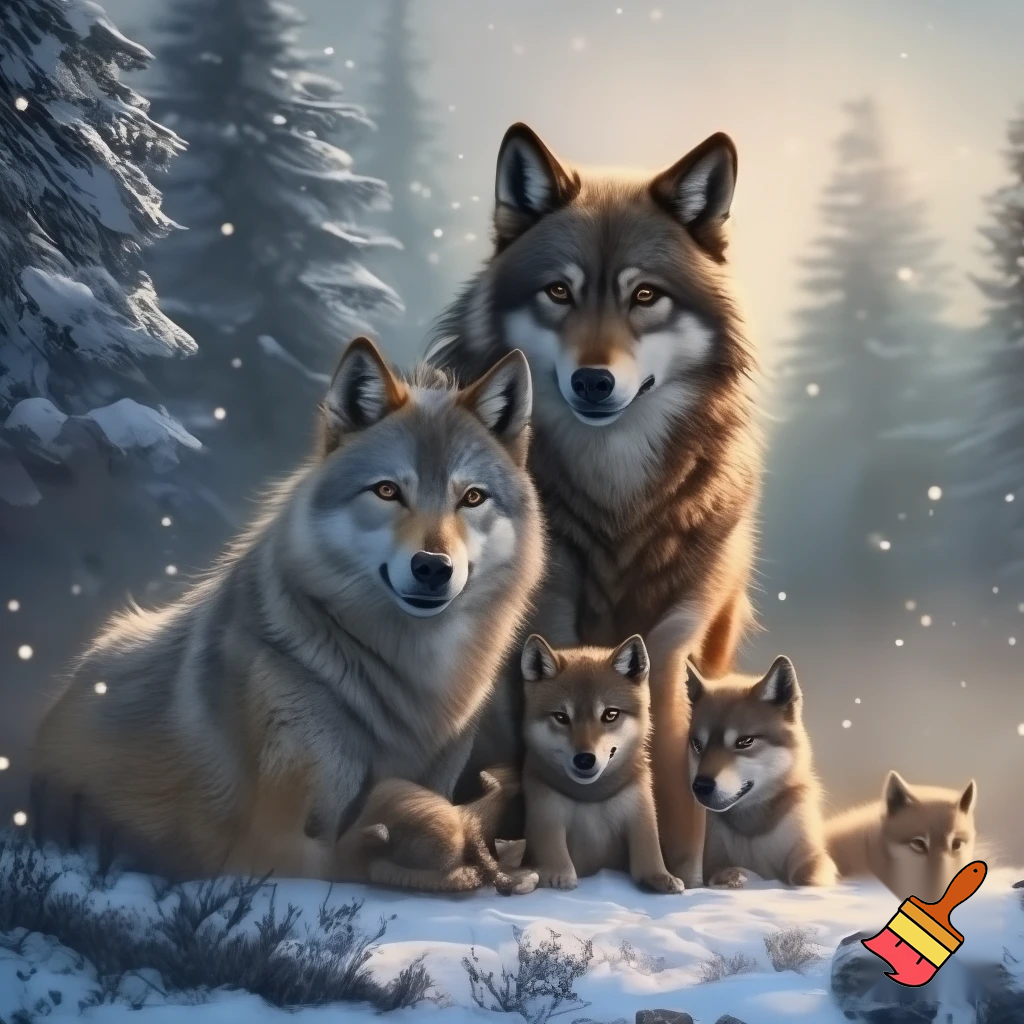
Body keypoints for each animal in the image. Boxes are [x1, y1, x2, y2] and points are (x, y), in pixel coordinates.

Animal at [518, 633, 683, 894]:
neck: (592, 798)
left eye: (610, 714)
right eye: (561, 717)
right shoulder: (546, 814)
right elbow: (555, 858)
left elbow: (649, 854)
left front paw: (662, 877)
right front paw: (558, 877)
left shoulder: (640, 811)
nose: (585, 758)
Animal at [685, 656, 837, 888]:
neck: (752, 825)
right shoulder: (712, 862)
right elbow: (729, 872)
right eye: (697, 744)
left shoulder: (811, 854)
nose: (701, 785)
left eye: (744, 742)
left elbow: (808, 875)